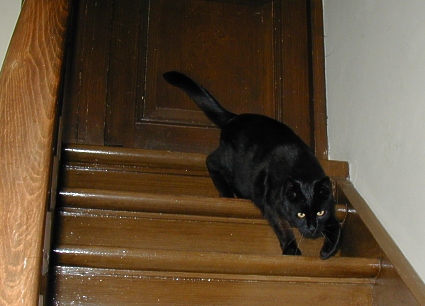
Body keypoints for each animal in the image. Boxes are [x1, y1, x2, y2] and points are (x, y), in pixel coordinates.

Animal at [162, 71, 342, 258]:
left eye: (320, 213)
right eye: (300, 214)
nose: (312, 228)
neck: (302, 169)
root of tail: (234, 117)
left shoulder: (329, 209)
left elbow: (337, 227)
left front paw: (327, 251)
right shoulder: (272, 204)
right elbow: (283, 228)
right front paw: (292, 249)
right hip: (232, 163)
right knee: (211, 161)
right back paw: (227, 193)